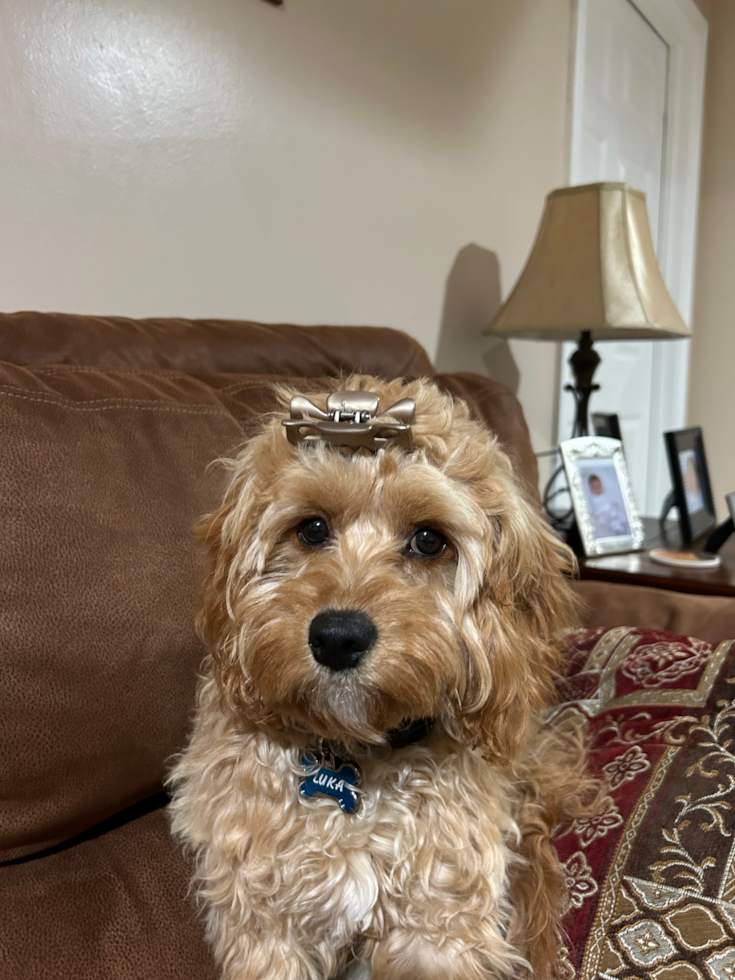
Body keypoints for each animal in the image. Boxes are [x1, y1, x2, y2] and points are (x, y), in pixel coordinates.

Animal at [168, 378, 592, 980]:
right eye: (312, 528)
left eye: (429, 540)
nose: (337, 637)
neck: (354, 756)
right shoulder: (263, 921)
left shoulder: (440, 924)